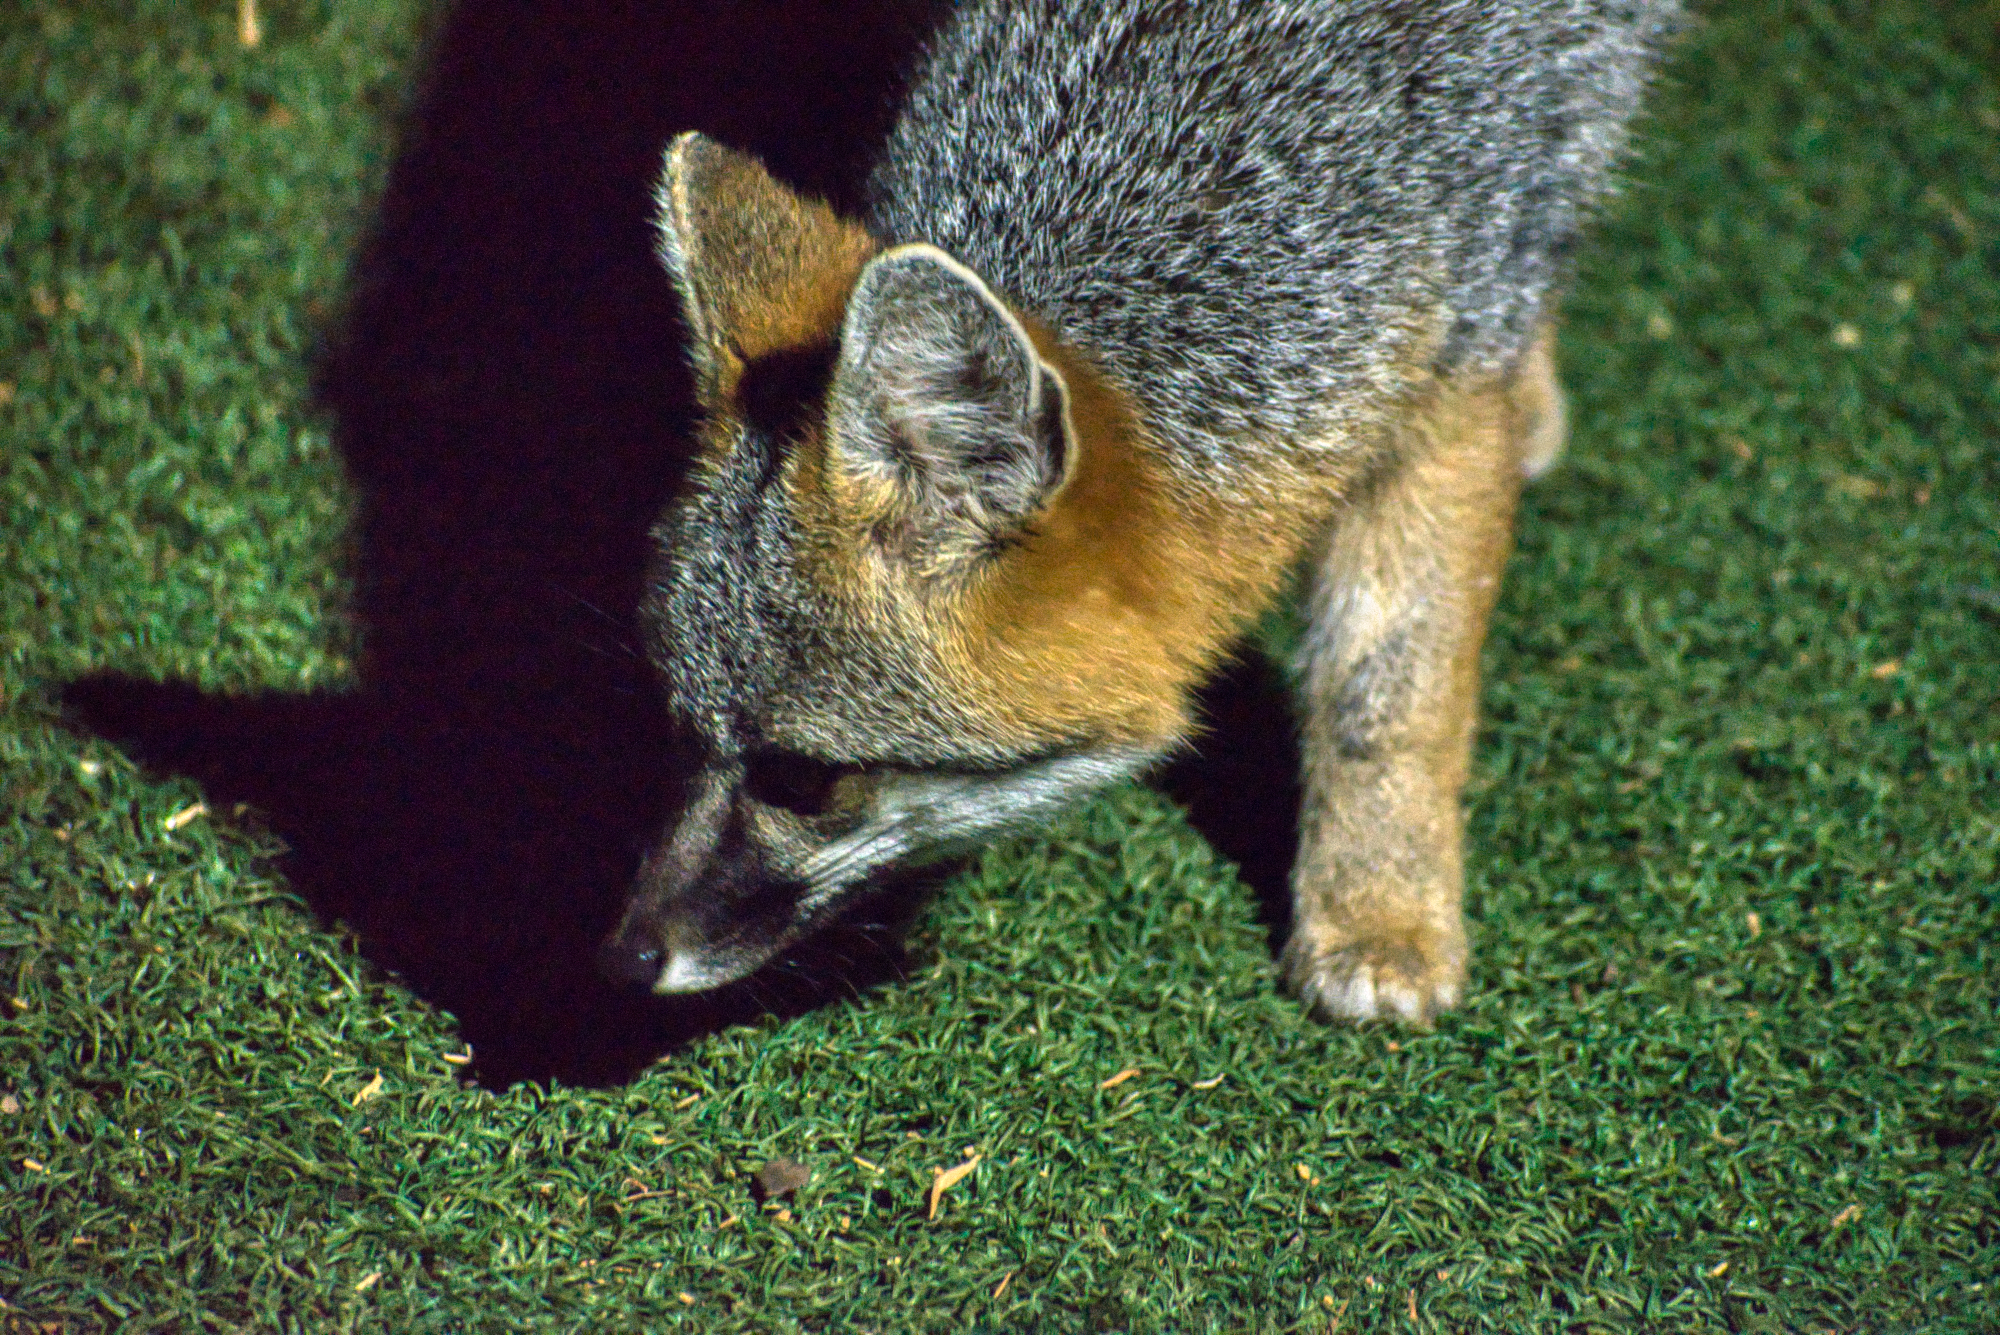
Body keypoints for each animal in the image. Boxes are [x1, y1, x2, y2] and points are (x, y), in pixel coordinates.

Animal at [599, 0, 1681, 1025]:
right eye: (675, 726)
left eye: (800, 779)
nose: (624, 957)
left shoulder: (1462, 340)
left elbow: (1386, 692)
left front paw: (1378, 911)